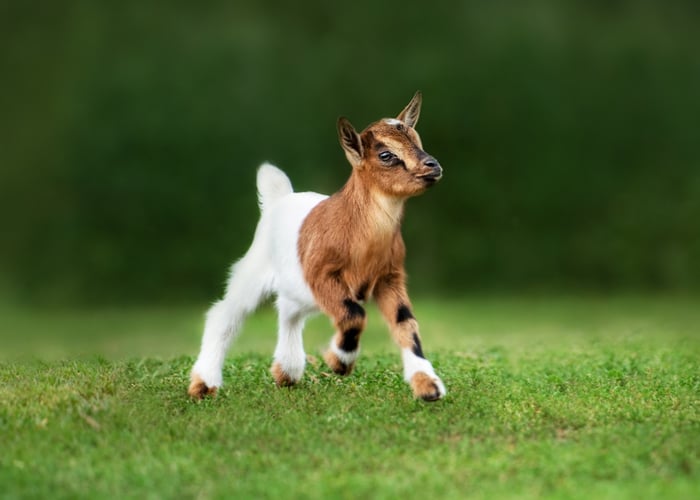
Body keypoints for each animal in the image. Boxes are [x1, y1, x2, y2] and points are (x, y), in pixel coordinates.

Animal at [189, 92, 446, 400]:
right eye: (386, 155)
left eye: (418, 141)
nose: (433, 166)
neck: (360, 236)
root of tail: (279, 198)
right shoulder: (322, 274)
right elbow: (354, 314)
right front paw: (339, 362)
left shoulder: (389, 277)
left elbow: (405, 323)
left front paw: (428, 387)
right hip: (255, 269)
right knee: (225, 314)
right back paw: (204, 384)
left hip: (299, 289)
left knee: (287, 310)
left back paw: (286, 372)